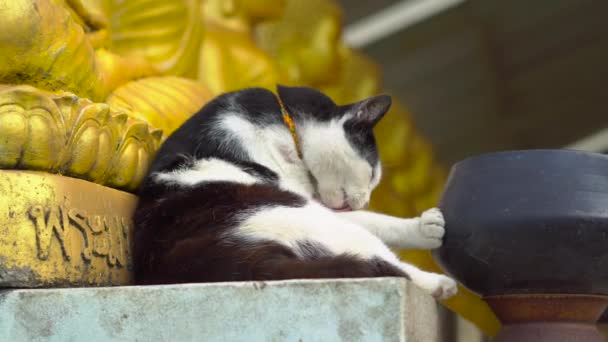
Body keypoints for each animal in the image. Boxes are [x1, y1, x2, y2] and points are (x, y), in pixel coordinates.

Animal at [133, 85, 456, 300]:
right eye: (373, 175)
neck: (285, 125)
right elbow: (377, 221)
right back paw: (439, 283)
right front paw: (425, 228)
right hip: (307, 217)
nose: (364, 200)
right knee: (387, 264)